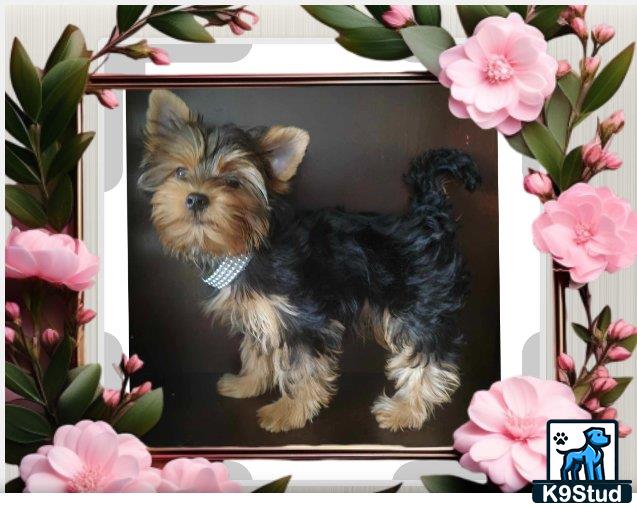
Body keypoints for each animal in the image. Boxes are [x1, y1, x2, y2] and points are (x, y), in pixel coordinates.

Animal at [138, 89, 476, 430]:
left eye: (233, 182)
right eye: (180, 172)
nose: (196, 198)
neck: (248, 244)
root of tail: (426, 215)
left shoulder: (303, 318)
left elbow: (302, 368)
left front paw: (288, 412)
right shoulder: (261, 312)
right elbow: (256, 349)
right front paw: (247, 383)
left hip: (419, 303)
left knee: (428, 353)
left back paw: (404, 410)